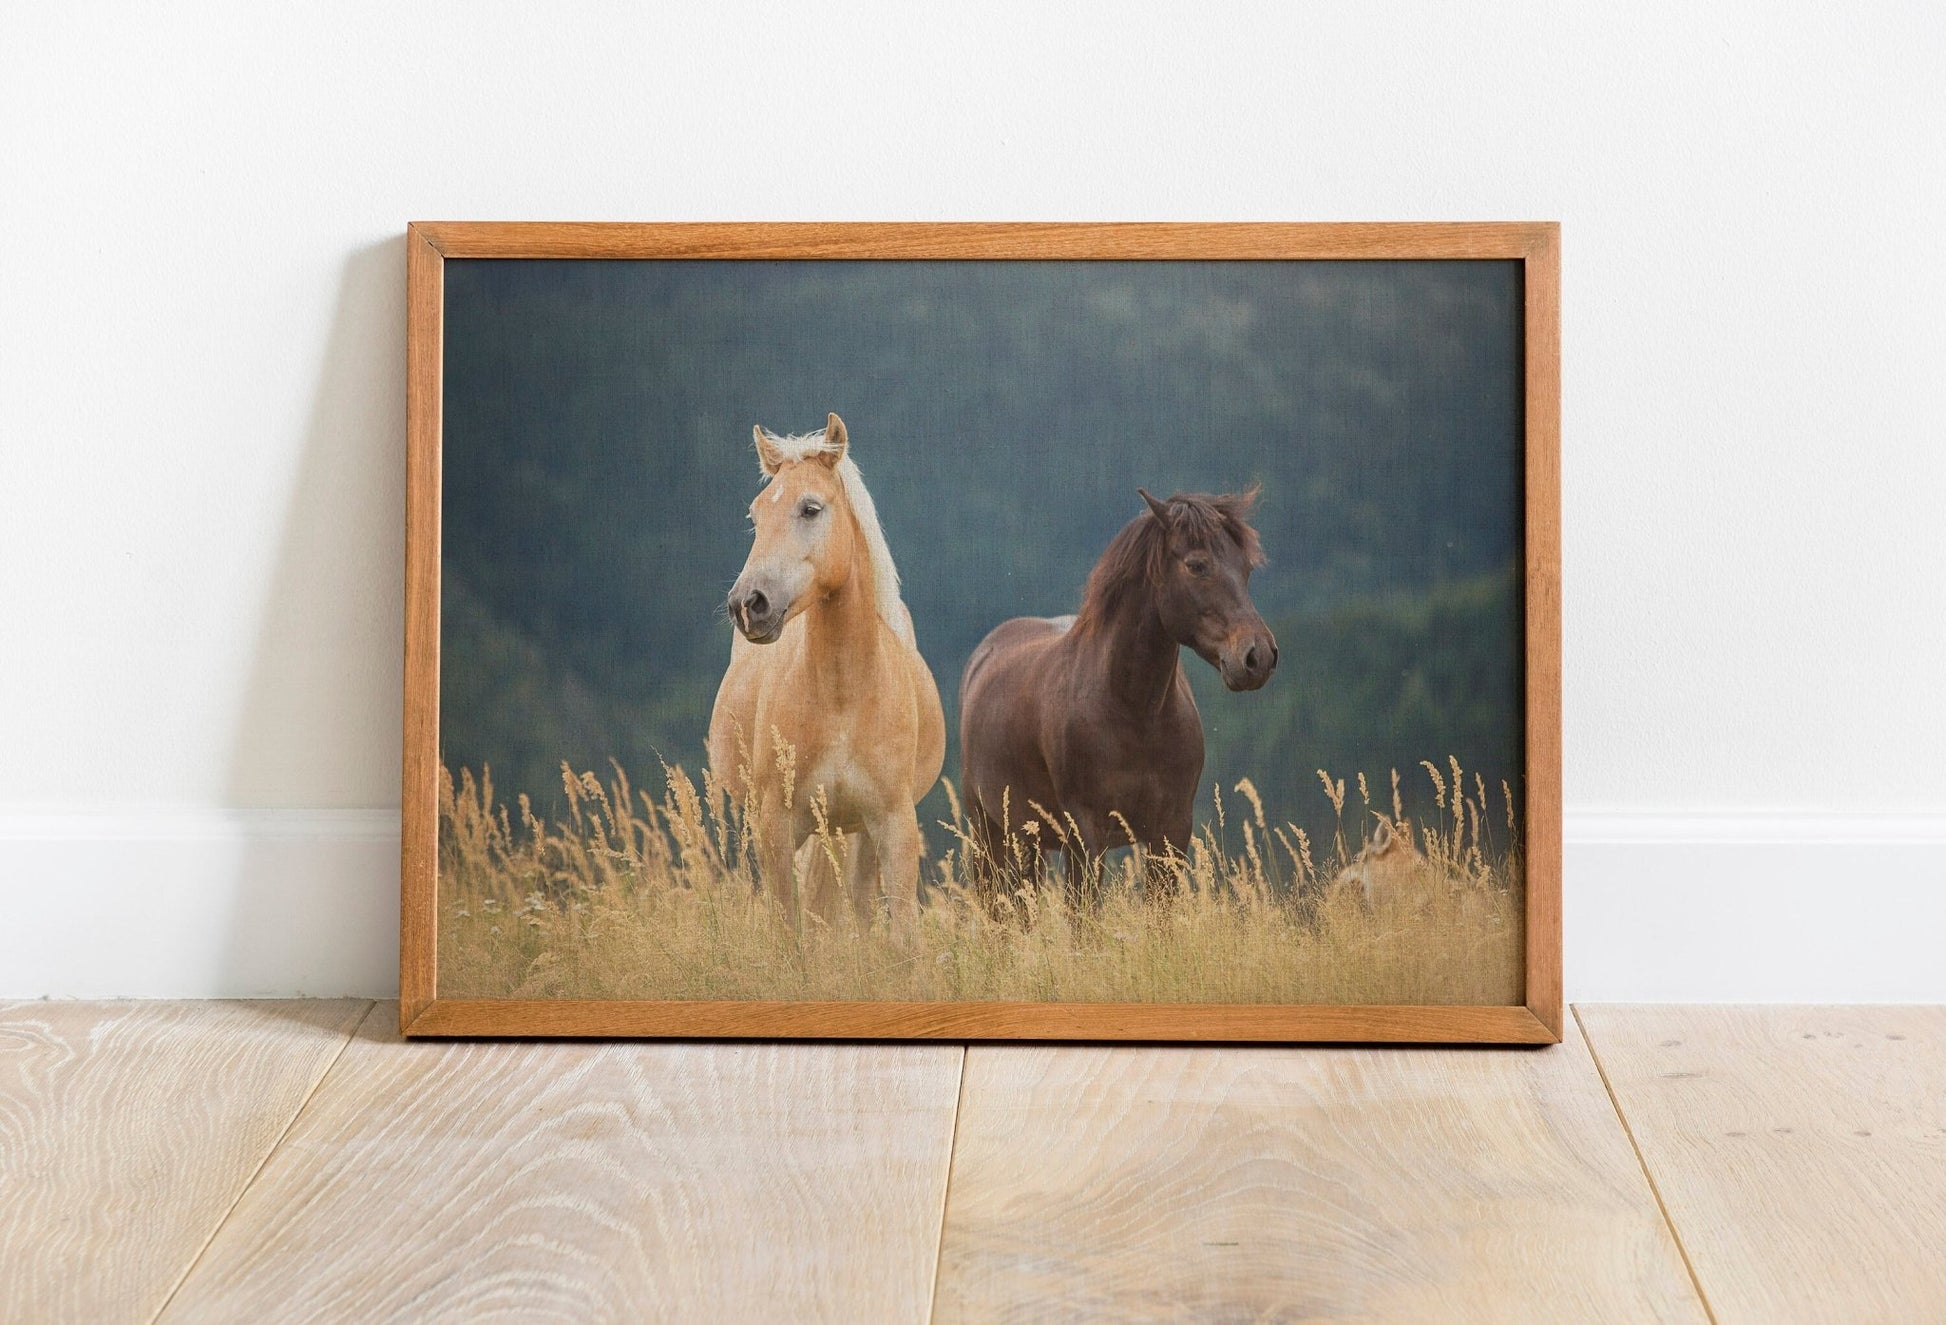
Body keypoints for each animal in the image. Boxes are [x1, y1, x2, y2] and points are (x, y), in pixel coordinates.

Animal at [707, 413, 946, 927]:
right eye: (755, 515)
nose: (748, 604)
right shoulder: (777, 829)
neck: (843, 698)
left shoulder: (893, 826)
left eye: (810, 508)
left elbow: (901, 933)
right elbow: (790, 929)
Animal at [958, 487, 1277, 897]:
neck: (1134, 713)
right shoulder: (1085, 836)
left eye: (1246, 568)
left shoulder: (1171, 832)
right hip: (988, 832)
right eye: (1197, 566)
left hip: (1029, 839)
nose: (1258, 657)